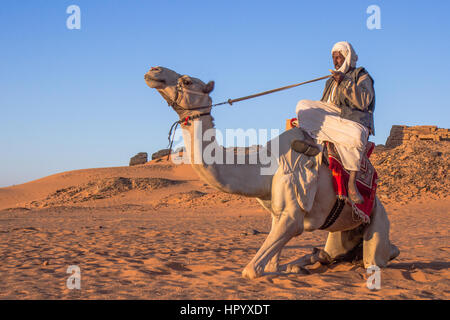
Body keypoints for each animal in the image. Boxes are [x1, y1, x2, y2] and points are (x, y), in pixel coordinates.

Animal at [145, 66, 400, 278]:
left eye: (187, 81)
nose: (154, 71)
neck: (262, 169)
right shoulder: (278, 215)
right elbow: (271, 265)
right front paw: (298, 264)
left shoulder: (291, 216)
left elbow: (252, 270)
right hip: (342, 233)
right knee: (339, 252)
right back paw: (318, 256)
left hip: (377, 223)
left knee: (376, 259)